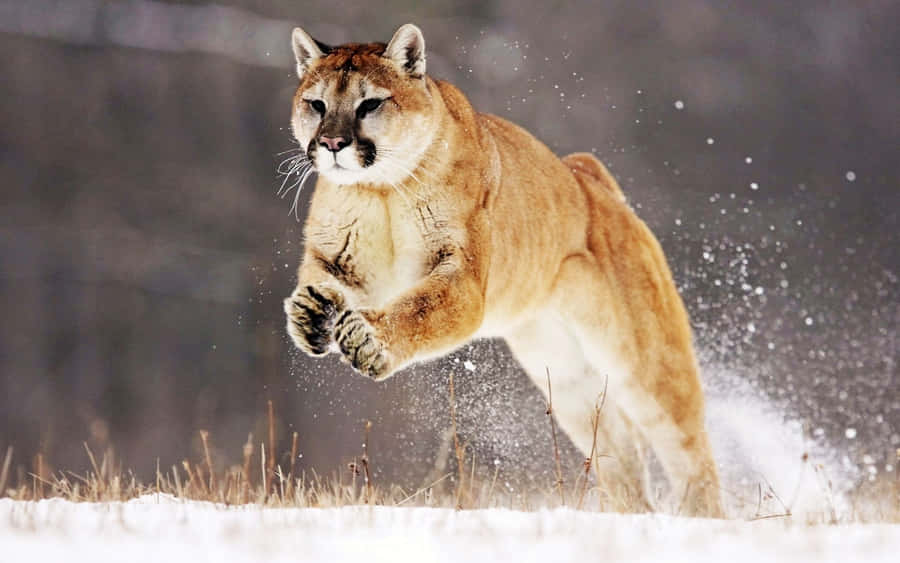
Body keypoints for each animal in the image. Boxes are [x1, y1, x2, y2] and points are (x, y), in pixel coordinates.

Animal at [282, 23, 723, 517]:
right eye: (316, 104)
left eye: (369, 104)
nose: (332, 144)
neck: (379, 191)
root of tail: (589, 178)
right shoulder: (340, 261)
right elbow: (322, 282)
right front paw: (309, 315)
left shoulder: (461, 279)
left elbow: (419, 309)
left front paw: (368, 341)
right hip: (564, 375)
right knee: (619, 448)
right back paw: (631, 514)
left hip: (644, 359)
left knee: (687, 446)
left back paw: (704, 519)